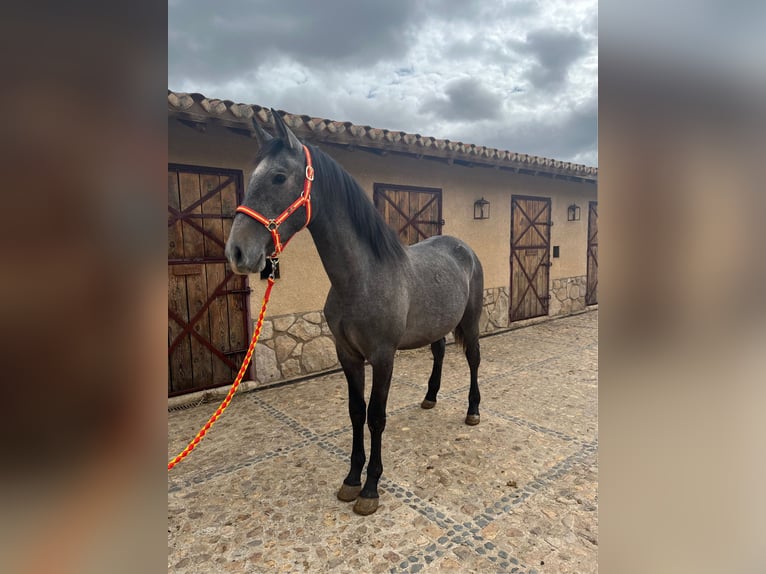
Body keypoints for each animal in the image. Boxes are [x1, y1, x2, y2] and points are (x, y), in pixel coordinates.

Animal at [225, 111, 484, 516]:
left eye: (279, 176)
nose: (237, 252)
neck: (362, 277)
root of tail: (463, 247)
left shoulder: (382, 356)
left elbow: (376, 416)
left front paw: (371, 488)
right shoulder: (347, 355)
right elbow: (355, 412)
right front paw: (351, 479)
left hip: (469, 322)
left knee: (472, 357)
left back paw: (473, 410)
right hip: (436, 325)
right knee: (440, 351)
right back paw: (430, 397)